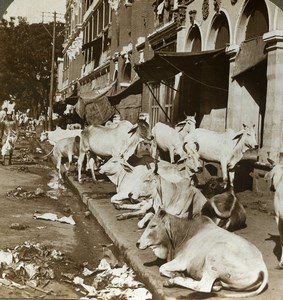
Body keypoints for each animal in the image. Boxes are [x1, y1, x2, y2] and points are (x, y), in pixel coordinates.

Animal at [137, 209, 268, 298]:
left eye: (153, 225)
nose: (138, 243)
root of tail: (262, 267)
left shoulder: (182, 260)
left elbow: (162, 268)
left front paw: (176, 274)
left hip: (214, 256)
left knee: (203, 286)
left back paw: (173, 281)